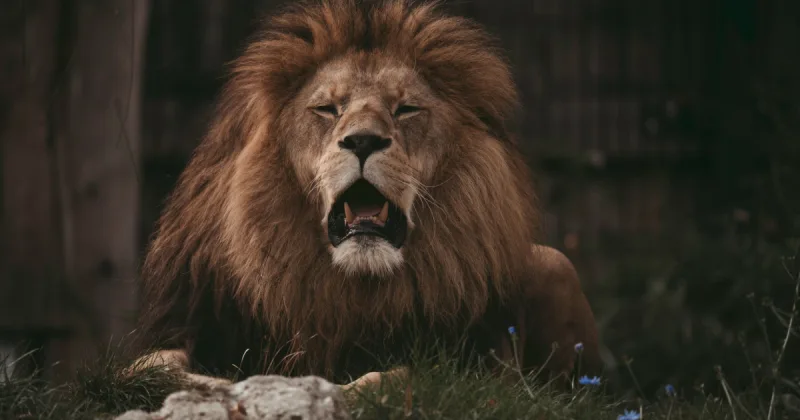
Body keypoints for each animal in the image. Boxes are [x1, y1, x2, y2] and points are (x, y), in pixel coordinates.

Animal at [132, 0, 602, 392]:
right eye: (327, 109)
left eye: (406, 109)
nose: (362, 141)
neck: (353, 285)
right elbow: (150, 363)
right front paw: (213, 383)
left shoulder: (479, 364)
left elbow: (398, 376)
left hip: (553, 262)